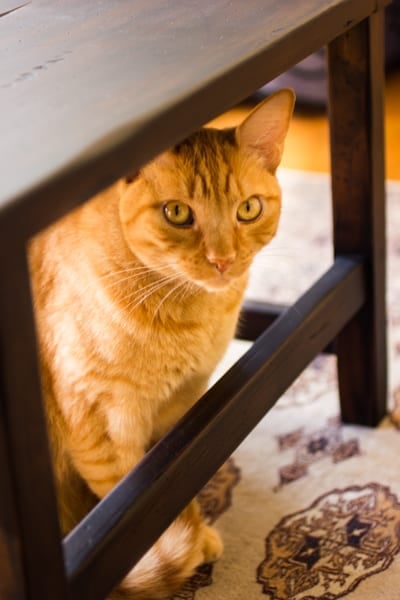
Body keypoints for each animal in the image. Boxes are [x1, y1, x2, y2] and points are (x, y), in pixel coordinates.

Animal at [28, 86, 294, 596]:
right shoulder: (102, 424)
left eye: (248, 208)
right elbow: (139, 502)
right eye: (177, 213)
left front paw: (192, 533)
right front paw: (187, 543)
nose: (222, 260)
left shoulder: (180, 409)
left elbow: (172, 483)